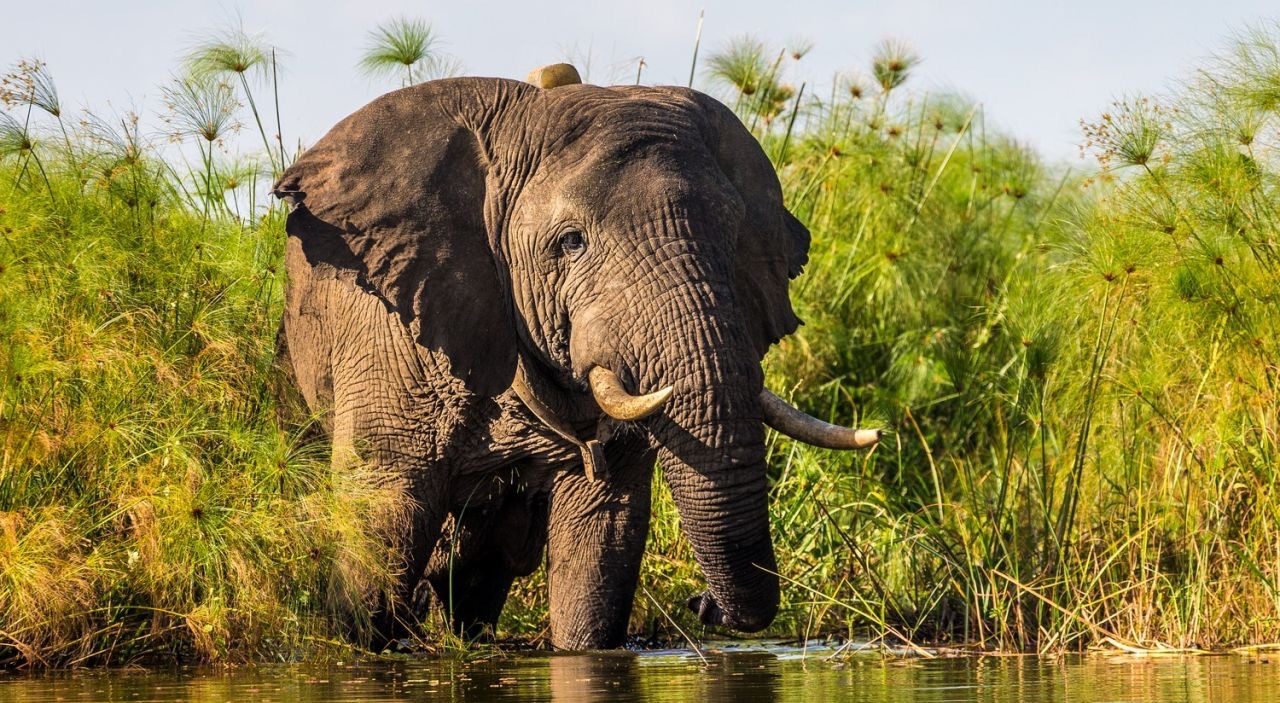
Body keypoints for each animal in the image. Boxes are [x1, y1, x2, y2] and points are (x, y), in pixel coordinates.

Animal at [270, 63, 880, 650]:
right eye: (570, 243)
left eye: (734, 238)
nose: (702, 604)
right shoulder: (390, 335)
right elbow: (384, 513)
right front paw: (362, 649)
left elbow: (600, 537)